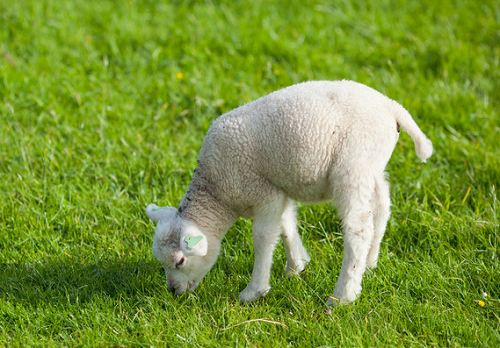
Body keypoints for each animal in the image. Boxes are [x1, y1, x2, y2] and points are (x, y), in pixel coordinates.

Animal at [146, 80, 434, 306]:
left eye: (180, 261)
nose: (174, 291)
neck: (217, 194)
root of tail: (392, 107)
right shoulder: (276, 190)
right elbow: (285, 224)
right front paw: (297, 265)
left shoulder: (261, 191)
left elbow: (263, 237)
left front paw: (254, 291)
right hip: (372, 166)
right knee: (382, 208)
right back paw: (370, 263)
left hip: (352, 166)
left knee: (358, 229)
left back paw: (343, 296)